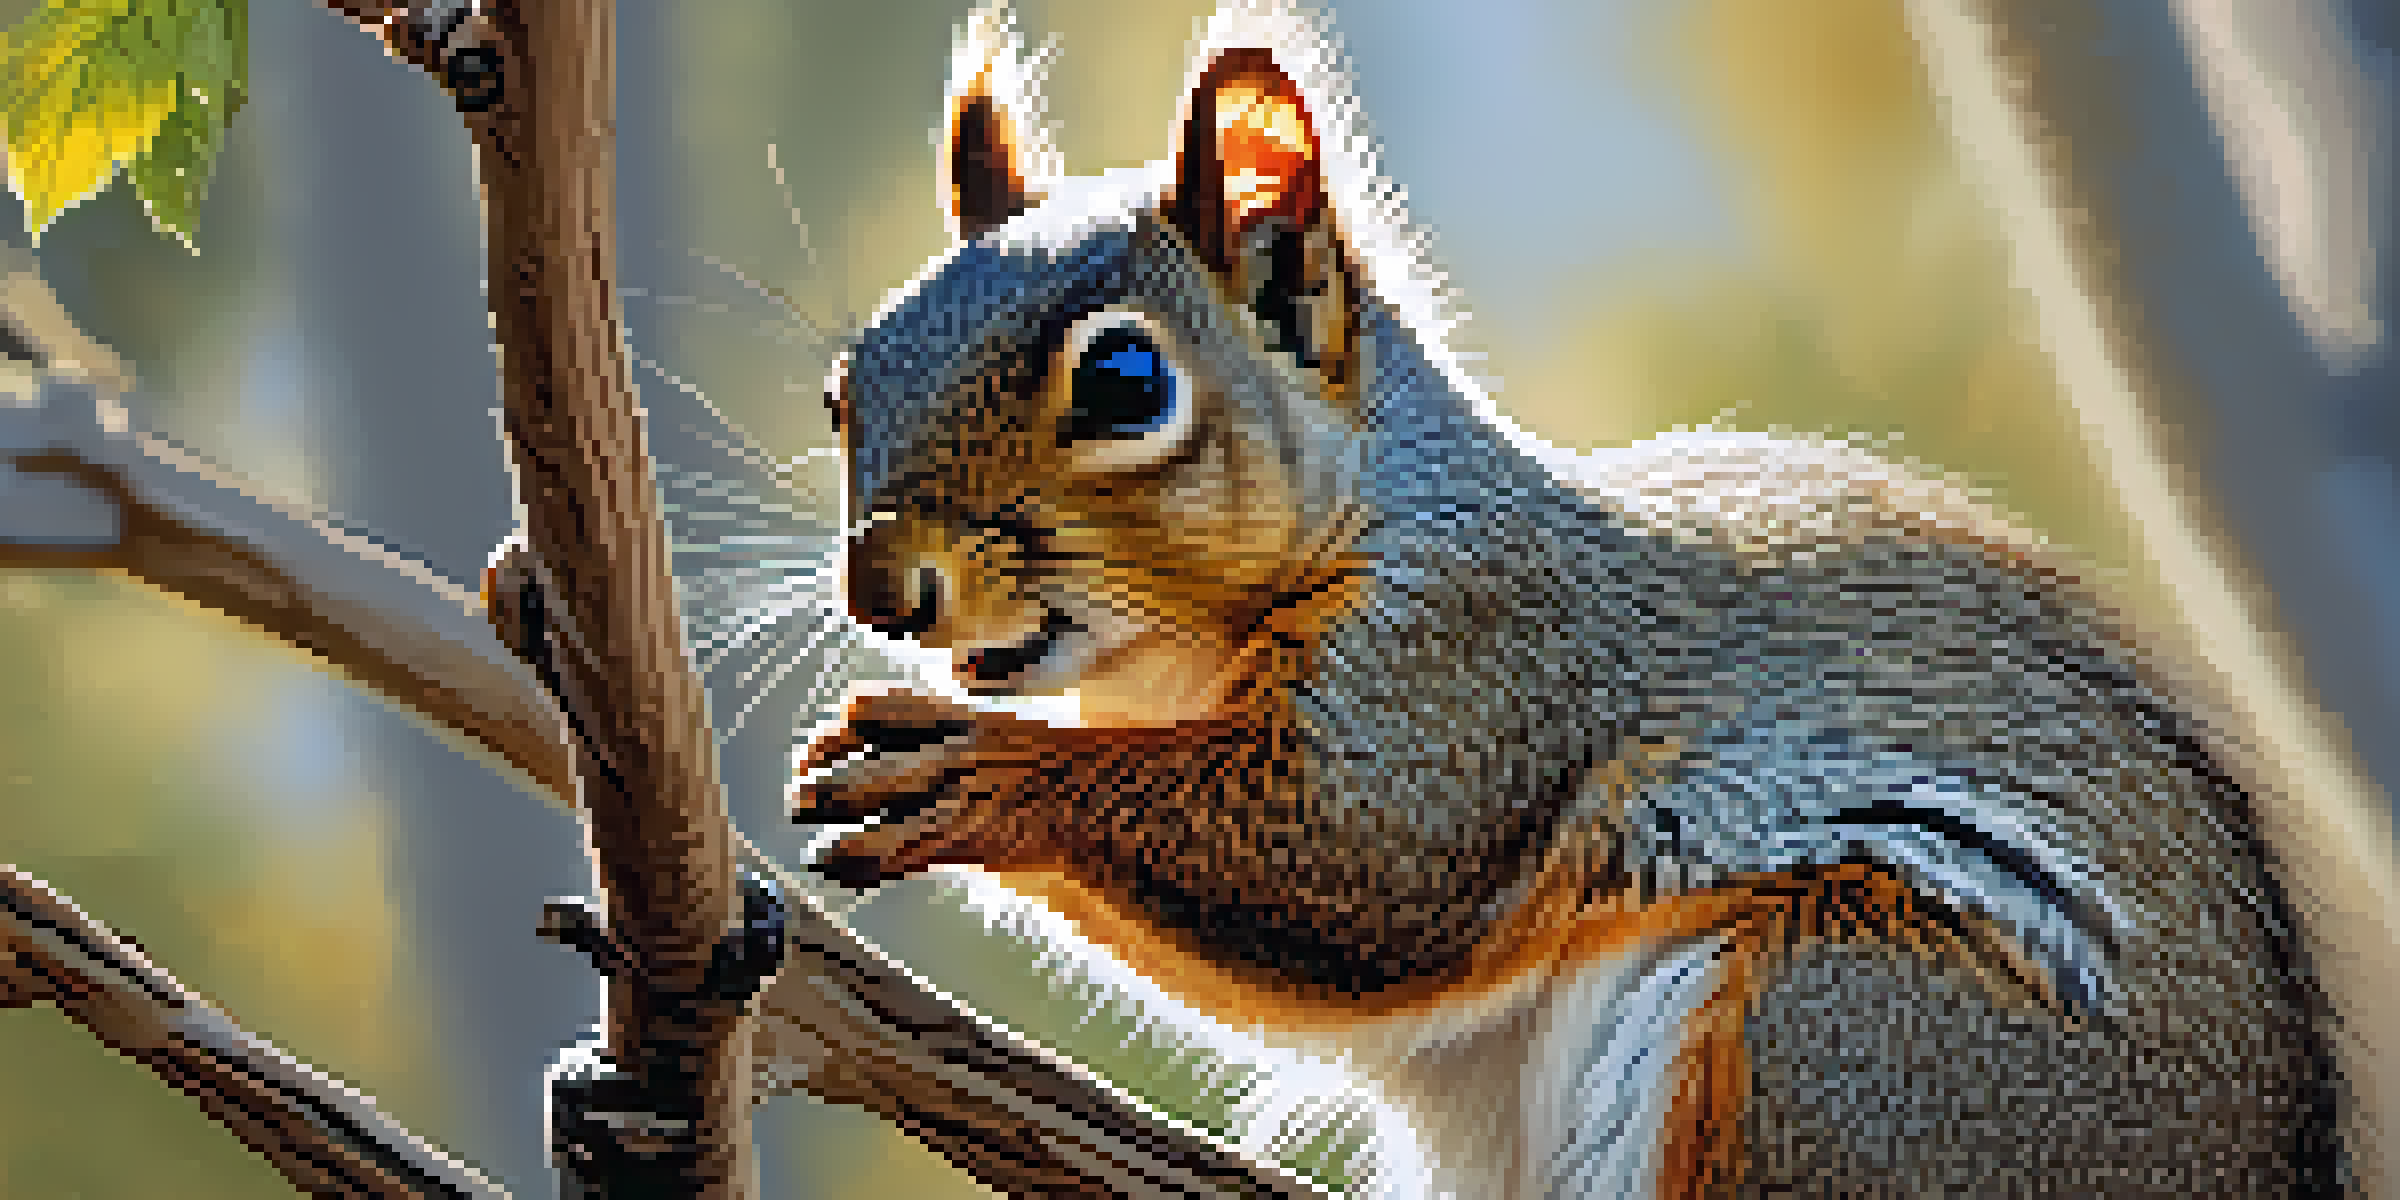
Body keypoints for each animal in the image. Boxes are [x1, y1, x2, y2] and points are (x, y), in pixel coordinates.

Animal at [790, 4, 2346, 1196]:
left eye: (1125, 381)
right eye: (845, 386)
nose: (886, 584)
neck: (1176, 666)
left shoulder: (1480, 664)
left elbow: (1351, 861)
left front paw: (978, 771)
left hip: (1847, 1043)